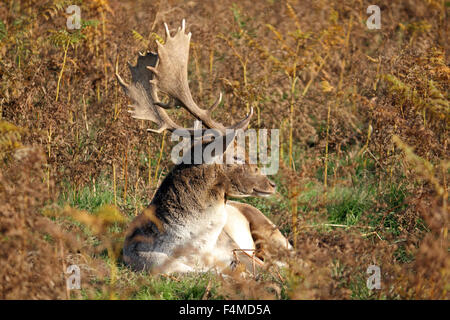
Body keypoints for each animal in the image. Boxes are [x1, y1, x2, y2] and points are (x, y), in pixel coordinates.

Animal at [116, 20, 292, 274]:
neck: (195, 250)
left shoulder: (233, 249)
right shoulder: (146, 262)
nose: (271, 184)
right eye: (237, 157)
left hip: (270, 229)